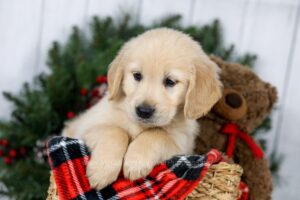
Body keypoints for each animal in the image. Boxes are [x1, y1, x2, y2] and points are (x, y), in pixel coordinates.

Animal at [63, 27, 223, 189]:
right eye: (137, 76)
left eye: (170, 81)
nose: (144, 111)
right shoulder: (86, 127)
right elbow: (116, 131)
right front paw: (103, 169)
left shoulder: (182, 146)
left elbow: (157, 133)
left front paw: (136, 161)